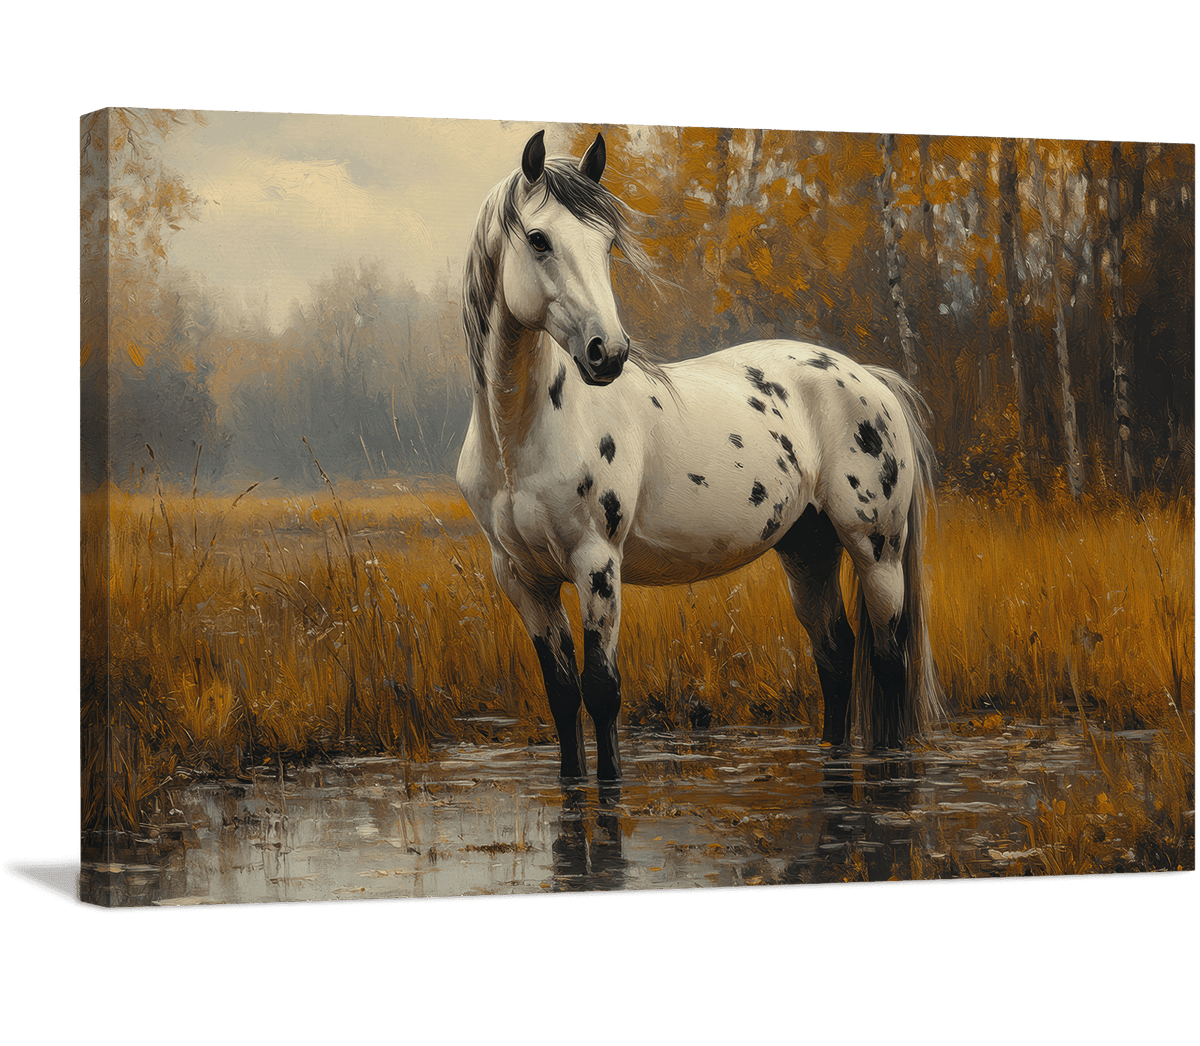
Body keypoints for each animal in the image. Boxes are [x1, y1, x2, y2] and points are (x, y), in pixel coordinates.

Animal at [456, 129, 942, 781]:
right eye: (538, 239)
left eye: (607, 244)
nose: (607, 353)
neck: (520, 441)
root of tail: (871, 378)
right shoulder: (522, 580)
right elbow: (562, 698)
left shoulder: (596, 565)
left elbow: (601, 692)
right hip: (807, 549)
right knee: (836, 658)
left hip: (877, 552)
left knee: (888, 666)